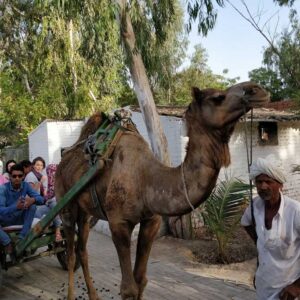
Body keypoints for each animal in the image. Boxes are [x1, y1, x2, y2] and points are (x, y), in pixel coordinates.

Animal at [55, 81, 270, 298]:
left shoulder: (151, 221)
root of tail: (62, 160)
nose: (257, 90)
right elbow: (128, 288)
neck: (147, 179)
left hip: (86, 211)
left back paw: (93, 295)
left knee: (82, 249)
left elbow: (141, 280)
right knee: (70, 252)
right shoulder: (118, 223)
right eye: (218, 97)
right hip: (65, 203)